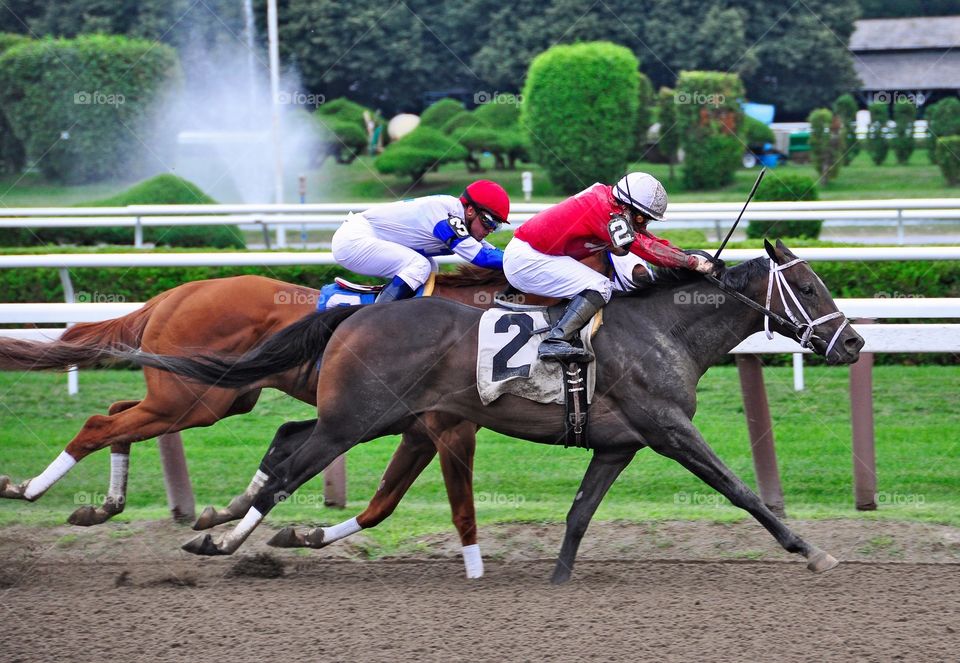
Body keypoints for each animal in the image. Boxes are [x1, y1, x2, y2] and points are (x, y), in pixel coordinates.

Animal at [116, 241, 868, 584]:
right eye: (807, 286)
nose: (855, 342)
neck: (663, 329)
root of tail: (355, 314)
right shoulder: (667, 428)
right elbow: (740, 490)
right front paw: (812, 549)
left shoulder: (617, 443)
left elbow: (579, 512)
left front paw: (558, 578)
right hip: (353, 421)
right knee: (286, 471)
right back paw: (220, 540)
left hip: (368, 416)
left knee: (283, 441)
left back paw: (228, 530)